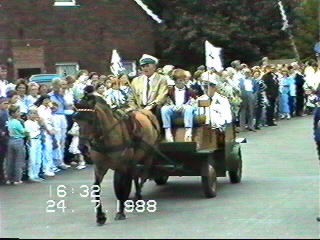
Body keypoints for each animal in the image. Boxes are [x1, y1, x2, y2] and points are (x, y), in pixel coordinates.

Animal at [74, 91, 161, 225]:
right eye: (76, 119)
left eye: (91, 120)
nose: (82, 147)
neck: (107, 139)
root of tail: (146, 112)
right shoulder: (99, 167)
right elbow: (96, 188)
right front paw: (100, 216)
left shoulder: (121, 167)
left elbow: (121, 187)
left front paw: (120, 212)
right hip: (134, 160)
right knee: (135, 175)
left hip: (148, 155)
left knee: (144, 175)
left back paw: (138, 197)